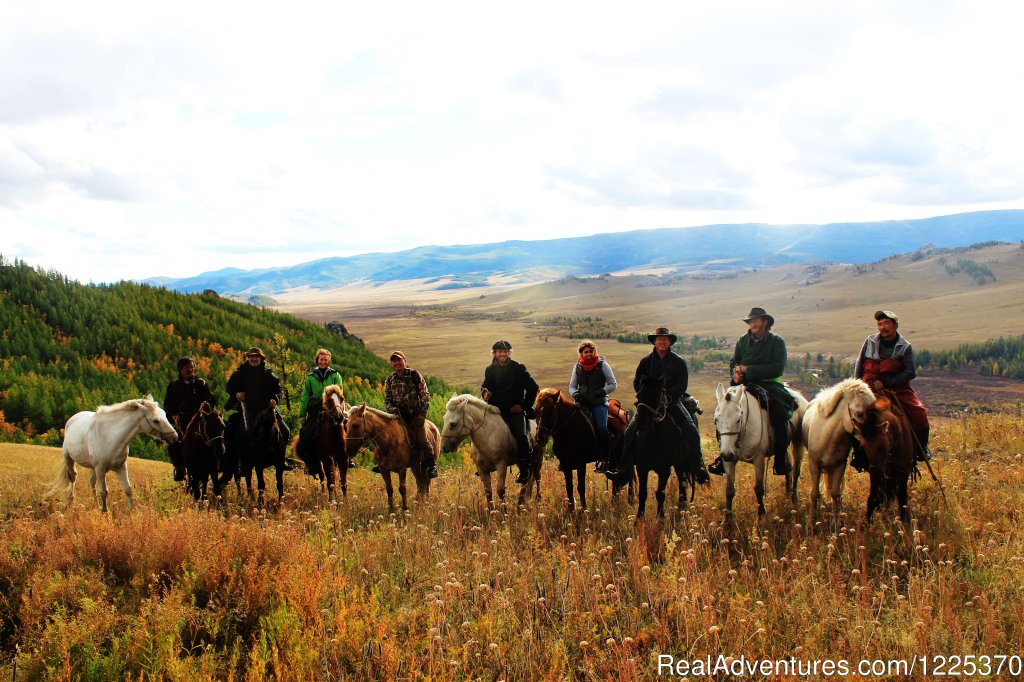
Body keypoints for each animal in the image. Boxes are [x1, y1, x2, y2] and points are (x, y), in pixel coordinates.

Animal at [48, 393, 177, 509]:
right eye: (156, 421)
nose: (175, 437)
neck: (110, 436)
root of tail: (72, 419)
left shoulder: (121, 467)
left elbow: (128, 489)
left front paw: (132, 511)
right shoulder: (100, 469)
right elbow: (104, 492)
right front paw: (106, 512)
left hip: (92, 467)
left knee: (91, 482)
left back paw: (96, 505)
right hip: (69, 459)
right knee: (72, 478)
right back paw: (71, 502)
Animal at [712, 382, 806, 516]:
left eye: (738, 419)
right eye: (716, 420)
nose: (727, 454)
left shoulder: (759, 459)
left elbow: (759, 489)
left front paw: (761, 514)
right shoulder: (729, 462)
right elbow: (729, 490)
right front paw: (727, 518)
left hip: (798, 442)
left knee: (796, 471)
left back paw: (794, 498)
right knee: (788, 468)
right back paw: (787, 494)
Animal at [798, 374, 880, 522]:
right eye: (859, 414)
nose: (876, 440)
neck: (829, 437)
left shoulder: (840, 465)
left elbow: (835, 493)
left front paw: (837, 522)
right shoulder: (814, 464)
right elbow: (814, 493)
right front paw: (812, 522)